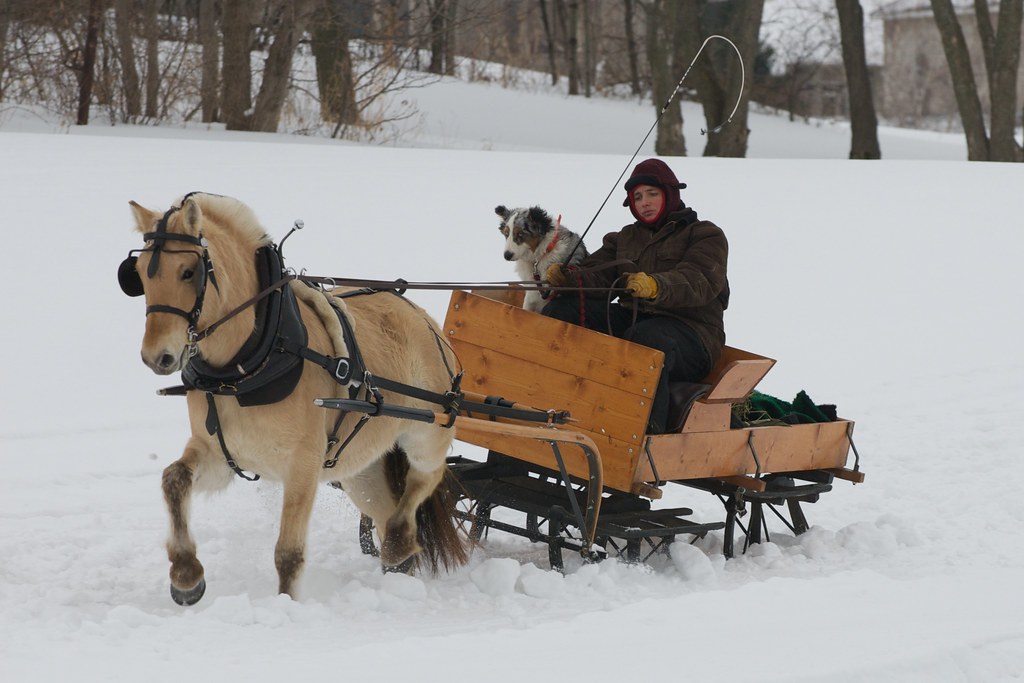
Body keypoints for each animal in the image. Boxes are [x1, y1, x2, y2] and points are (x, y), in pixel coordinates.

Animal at [119, 192, 468, 605]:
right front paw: (186, 574)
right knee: (384, 511)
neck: (247, 367)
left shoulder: (303, 464)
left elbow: (288, 552)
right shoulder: (221, 453)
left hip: (426, 434)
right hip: (360, 469)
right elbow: (173, 480)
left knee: (423, 480)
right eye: (140, 274)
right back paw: (399, 567)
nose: (156, 356)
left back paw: (400, 542)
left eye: (189, 272)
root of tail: (425, 319)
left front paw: (286, 604)